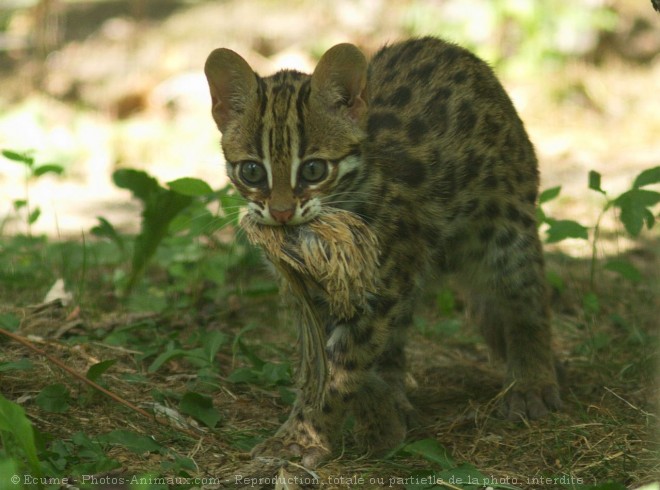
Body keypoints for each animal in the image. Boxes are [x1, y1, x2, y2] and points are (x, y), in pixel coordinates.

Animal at [205, 37, 564, 468]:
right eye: (252, 172)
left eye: (313, 170)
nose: (281, 213)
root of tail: (454, 50)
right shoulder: (313, 294)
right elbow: (329, 363)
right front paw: (374, 413)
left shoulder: (380, 288)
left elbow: (340, 371)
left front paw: (303, 437)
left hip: (506, 230)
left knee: (526, 301)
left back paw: (531, 380)